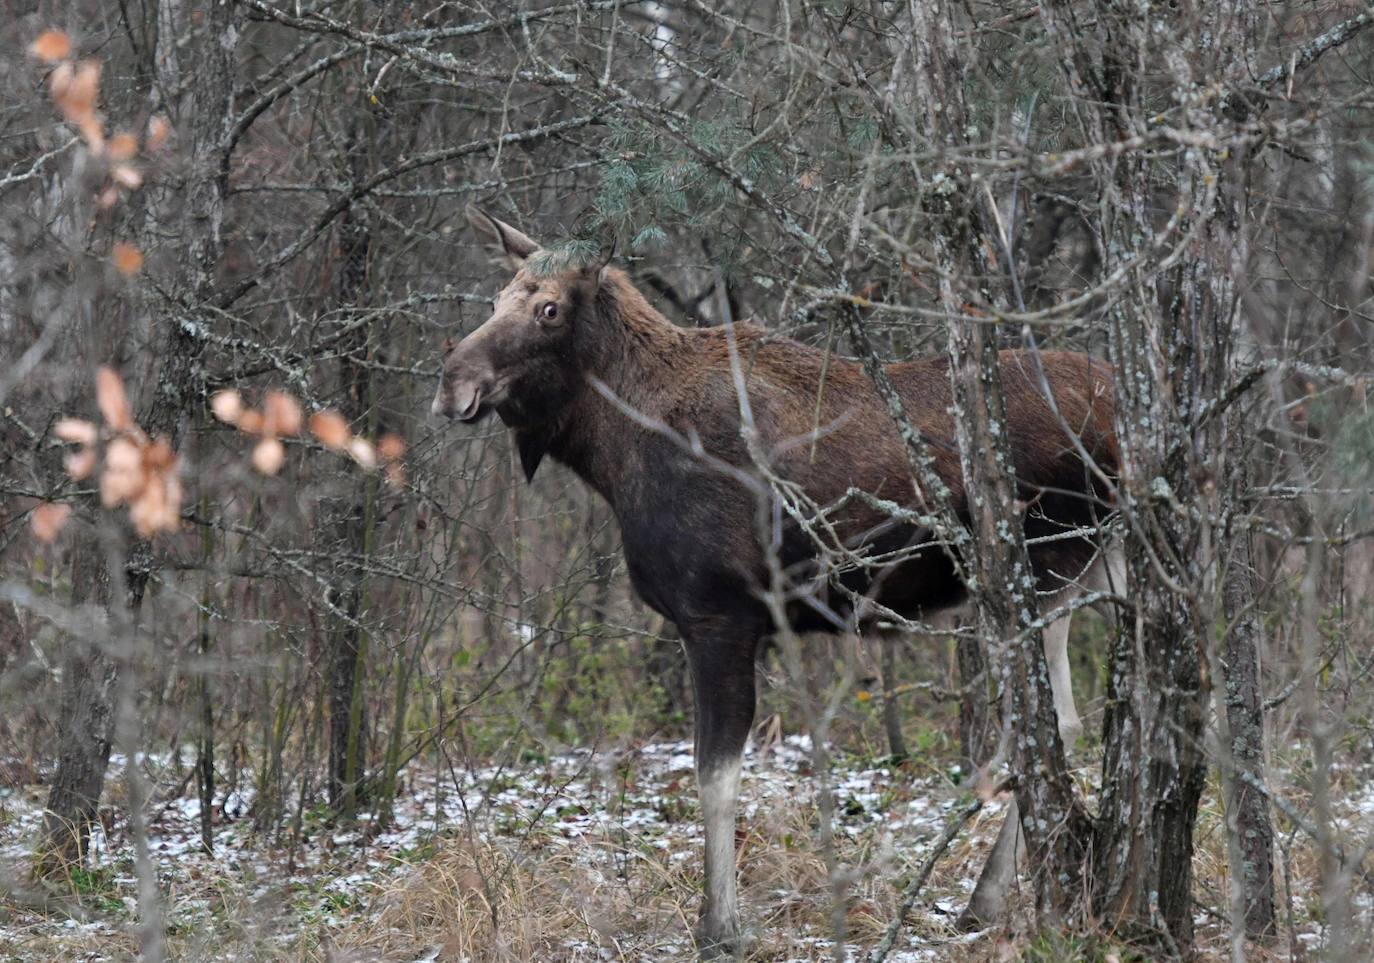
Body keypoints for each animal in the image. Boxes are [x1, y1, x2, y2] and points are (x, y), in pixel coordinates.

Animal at [434, 208, 1121, 956]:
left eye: (550, 309)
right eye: (495, 300)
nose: (452, 381)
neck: (614, 453)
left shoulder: (720, 615)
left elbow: (715, 775)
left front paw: (720, 927)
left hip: (1049, 564)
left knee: (1055, 720)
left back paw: (987, 896)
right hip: (1099, 565)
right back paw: (987, 899)